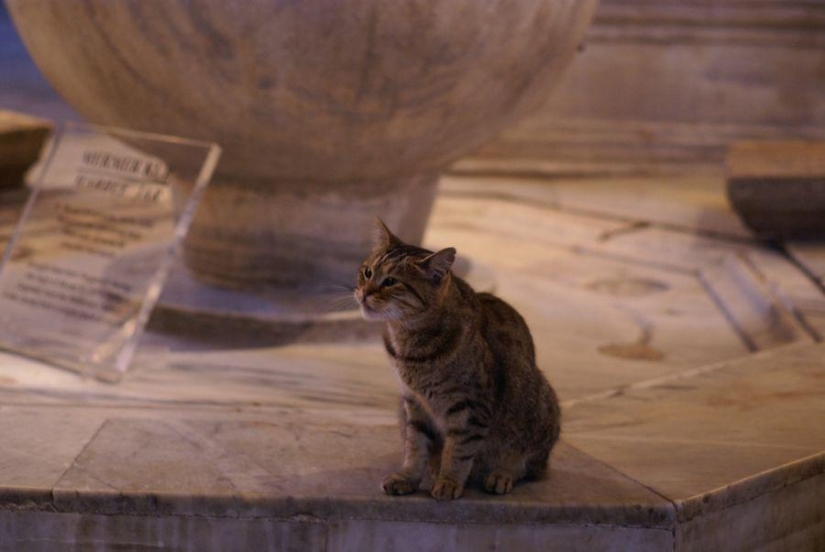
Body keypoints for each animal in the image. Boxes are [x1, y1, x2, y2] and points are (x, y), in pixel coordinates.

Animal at [354, 220, 560, 500]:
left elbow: (459, 452)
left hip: (539, 406)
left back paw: (501, 474)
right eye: (367, 272)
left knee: (528, 463)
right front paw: (409, 477)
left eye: (391, 281)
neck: (407, 344)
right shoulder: (413, 403)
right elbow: (415, 447)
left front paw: (449, 482)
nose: (364, 292)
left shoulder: (470, 408)